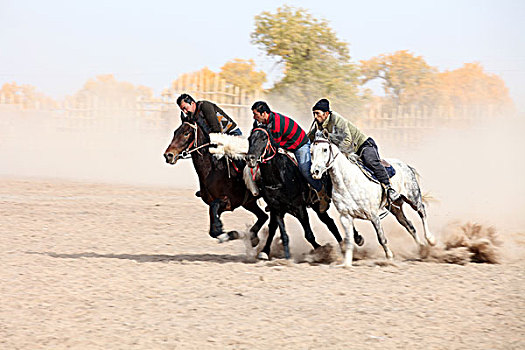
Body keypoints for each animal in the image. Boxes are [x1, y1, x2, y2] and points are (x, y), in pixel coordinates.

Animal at [245, 126, 362, 260]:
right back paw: (342, 246)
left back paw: (357, 238)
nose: (250, 158)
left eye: (264, 138)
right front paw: (271, 253)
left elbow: (308, 234)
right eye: (249, 138)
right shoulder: (276, 209)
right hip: (318, 206)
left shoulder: (300, 208)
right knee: (330, 222)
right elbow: (281, 233)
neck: (279, 178)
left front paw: (320, 250)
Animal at [310, 133, 436, 266]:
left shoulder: (373, 215)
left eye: (325, 149)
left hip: (413, 197)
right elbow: (349, 241)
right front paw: (346, 263)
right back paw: (422, 248)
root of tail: (406, 166)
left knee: (422, 211)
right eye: (311, 152)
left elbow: (381, 238)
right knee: (409, 225)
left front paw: (389, 257)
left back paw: (430, 240)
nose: (315, 172)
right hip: (395, 208)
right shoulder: (345, 217)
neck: (347, 182)